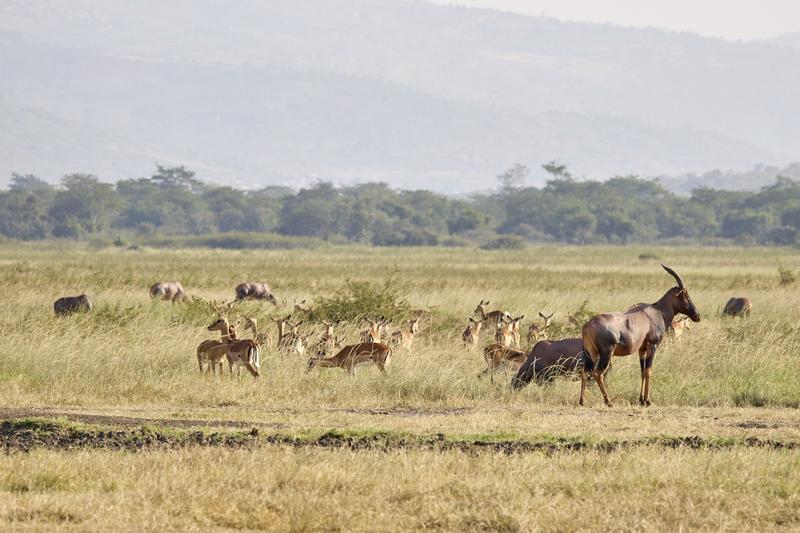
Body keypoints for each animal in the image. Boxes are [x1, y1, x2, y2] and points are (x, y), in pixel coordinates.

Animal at [580, 264, 696, 406]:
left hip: (591, 353)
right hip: (606, 353)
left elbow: (642, 371)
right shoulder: (653, 346)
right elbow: (648, 371)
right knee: (598, 373)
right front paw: (648, 401)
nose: (697, 316)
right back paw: (609, 402)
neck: (657, 311)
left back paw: (582, 401)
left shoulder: (642, 349)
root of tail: (588, 325)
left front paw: (641, 400)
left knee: (585, 372)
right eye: (685, 295)